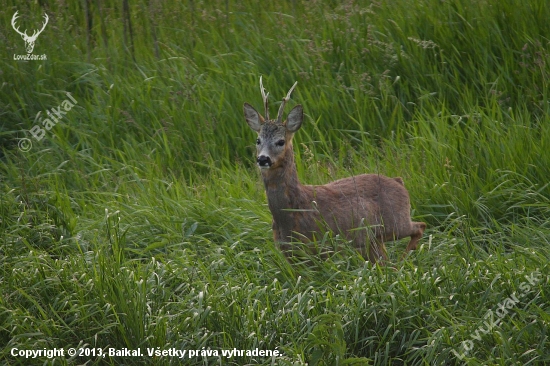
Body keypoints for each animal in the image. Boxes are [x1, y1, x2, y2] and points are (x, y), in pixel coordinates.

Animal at [244, 77, 430, 262]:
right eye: (258, 140)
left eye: (281, 141)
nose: (263, 159)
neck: (295, 210)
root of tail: (399, 181)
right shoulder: (289, 254)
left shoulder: (322, 246)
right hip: (374, 238)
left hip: (395, 222)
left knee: (420, 226)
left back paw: (403, 260)